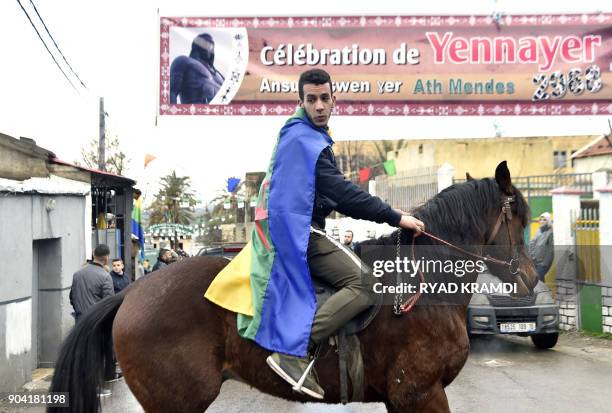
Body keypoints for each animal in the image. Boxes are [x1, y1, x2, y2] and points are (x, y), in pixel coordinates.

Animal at [49, 161, 536, 412]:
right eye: (520, 218)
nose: (532, 277)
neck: (422, 291)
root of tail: (132, 292)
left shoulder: (405, 399)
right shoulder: (420, 394)